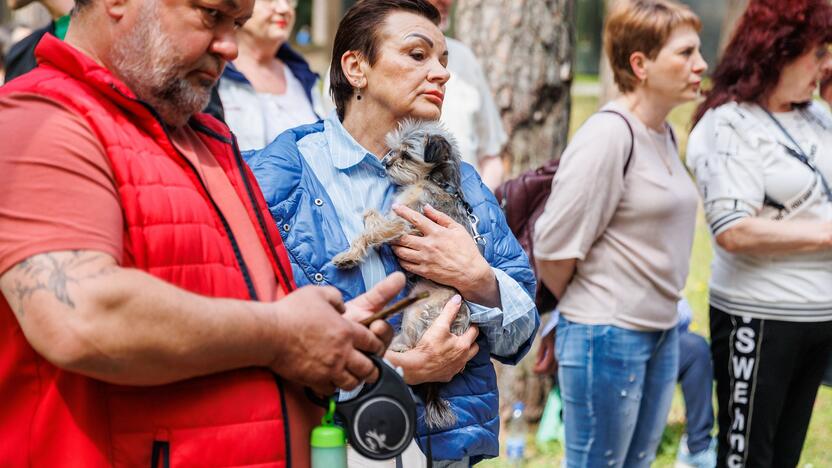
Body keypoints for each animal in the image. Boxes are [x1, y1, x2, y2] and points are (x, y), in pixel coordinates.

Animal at [332, 119, 474, 430]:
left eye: (406, 155)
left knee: (413, 344)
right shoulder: (400, 215)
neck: (433, 180)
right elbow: (373, 216)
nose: (385, 162)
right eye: (392, 149)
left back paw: (395, 351)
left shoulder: (407, 221)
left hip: (419, 310)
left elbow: (371, 231)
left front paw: (350, 255)